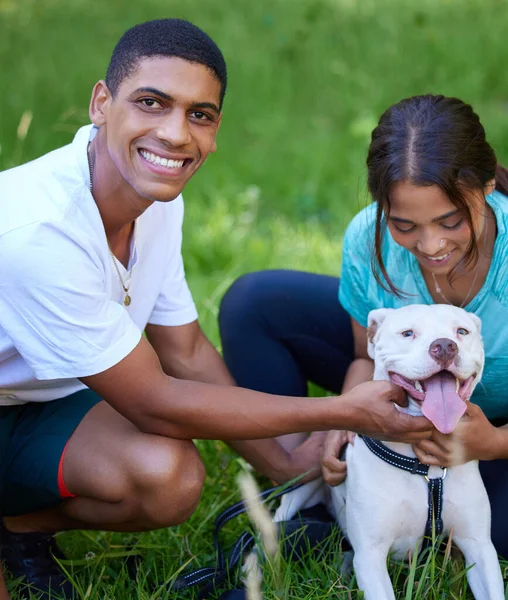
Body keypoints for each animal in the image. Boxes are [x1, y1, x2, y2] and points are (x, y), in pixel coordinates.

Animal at [274, 304, 504, 600]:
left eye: (461, 331)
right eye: (407, 333)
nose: (444, 346)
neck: (424, 469)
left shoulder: (479, 546)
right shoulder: (370, 556)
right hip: (301, 485)